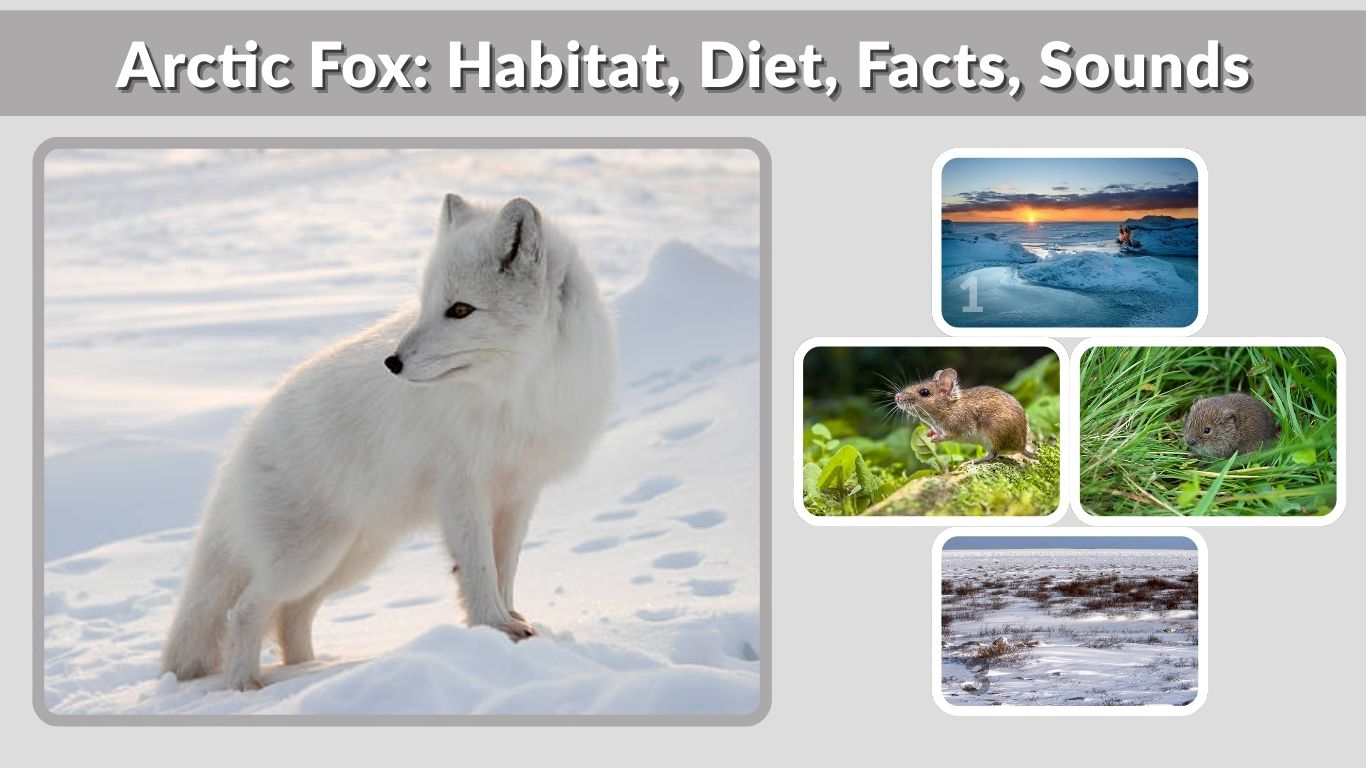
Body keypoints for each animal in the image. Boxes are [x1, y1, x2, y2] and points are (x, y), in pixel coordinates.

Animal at [161, 194, 617, 690]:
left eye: (460, 309)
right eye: (425, 304)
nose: (392, 362)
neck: (515, 392)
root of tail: (243, 443)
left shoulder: (518, 490)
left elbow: (505, 565)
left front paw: (512, 623)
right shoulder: (461, 489)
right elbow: (479, 567)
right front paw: (494, 628)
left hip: (352, 559)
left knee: (290, 616)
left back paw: (307, 669)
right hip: (308, 559)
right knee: (245, 610)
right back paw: (246, 685)